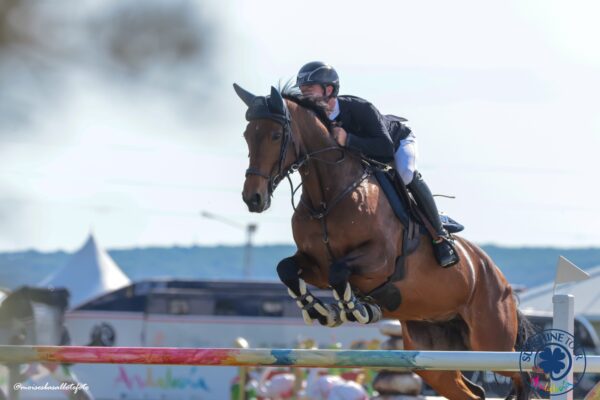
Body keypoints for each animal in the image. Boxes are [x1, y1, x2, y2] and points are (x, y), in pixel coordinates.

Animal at [232, 83, 532, 400]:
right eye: (247, 135)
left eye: (276, 136)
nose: (253, 198)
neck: (327, 198)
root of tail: (499, 278)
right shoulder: (316, 266)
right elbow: (287, 269)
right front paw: (320, 309)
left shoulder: (380, 261)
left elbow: (340, 271)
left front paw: (357, 309)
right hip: (433, 356)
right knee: (471, 391)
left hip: (492, 341)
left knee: (522, 376)